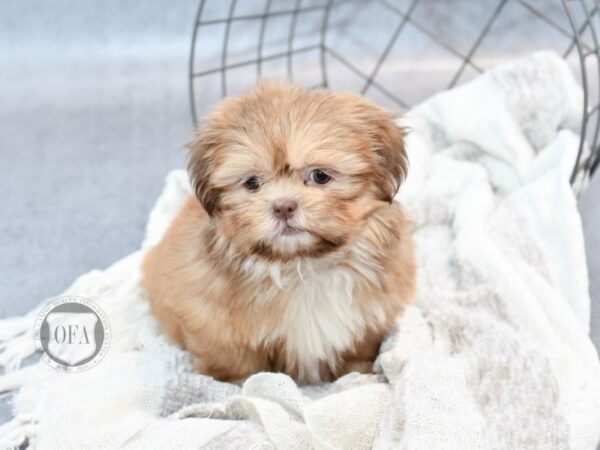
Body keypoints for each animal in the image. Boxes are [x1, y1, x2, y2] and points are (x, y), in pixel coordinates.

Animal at [144, 80, 418, 384]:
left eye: (320, 176)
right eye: (252, 183)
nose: (283, 207)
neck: (303, 265)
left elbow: (358, 351)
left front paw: (356, 376)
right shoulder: (212, 321)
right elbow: (239, 362)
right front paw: (241, 385)